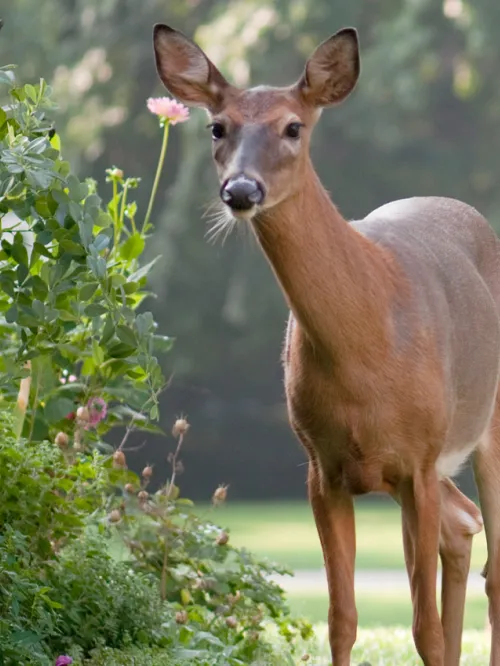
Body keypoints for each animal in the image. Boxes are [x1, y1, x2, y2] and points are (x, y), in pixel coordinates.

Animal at [152, 22, 500, 664]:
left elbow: (422, 626)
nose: (241, 190)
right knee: (462, 526)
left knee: (492, 563)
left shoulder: (419, 458)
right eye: (217, 126)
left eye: (294, 126)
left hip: (483, 422)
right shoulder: (323, 466)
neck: (367, 346)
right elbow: (342, 619)